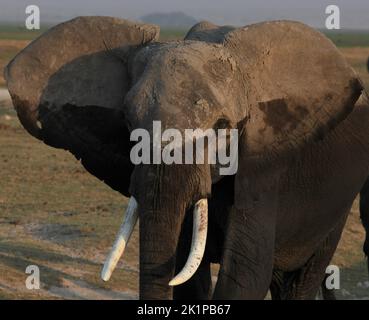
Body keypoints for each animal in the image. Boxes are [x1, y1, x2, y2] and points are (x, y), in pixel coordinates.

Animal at [4, 16, 368, 298]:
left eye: (222, 127)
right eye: (128, 123)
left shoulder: (262, 166)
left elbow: (245, 274)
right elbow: (187, 275)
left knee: (301, 279)